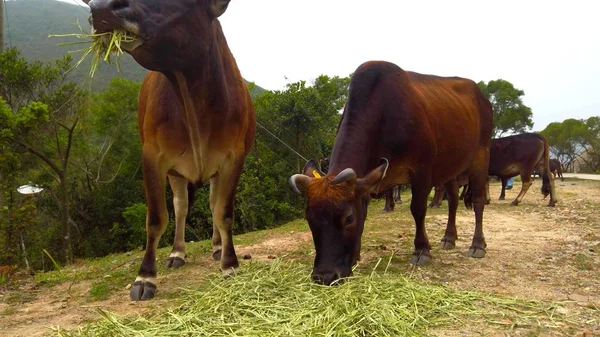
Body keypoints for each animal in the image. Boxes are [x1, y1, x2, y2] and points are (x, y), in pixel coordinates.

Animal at [87, 0, 255, 300]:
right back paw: (178, 253)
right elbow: (156, 218)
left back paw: (217, 247)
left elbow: (223, 212)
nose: (101, 9)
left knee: (211, 204)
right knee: (180, 208)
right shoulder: (152, 157)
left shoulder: (233, 158)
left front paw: (230, 263)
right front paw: (145, 277)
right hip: (176, 174)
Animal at [290, 60, 492, 284]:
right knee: (454, 200)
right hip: (450, 166)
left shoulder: (422, 170)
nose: (325, 276)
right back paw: (449, 237)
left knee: (478, 200)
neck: (384, 113)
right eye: (309, 218)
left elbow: (418, 209)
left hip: (481, 155)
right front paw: (356, 255)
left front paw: (422, 250)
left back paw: (477, 244)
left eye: (349, 218)